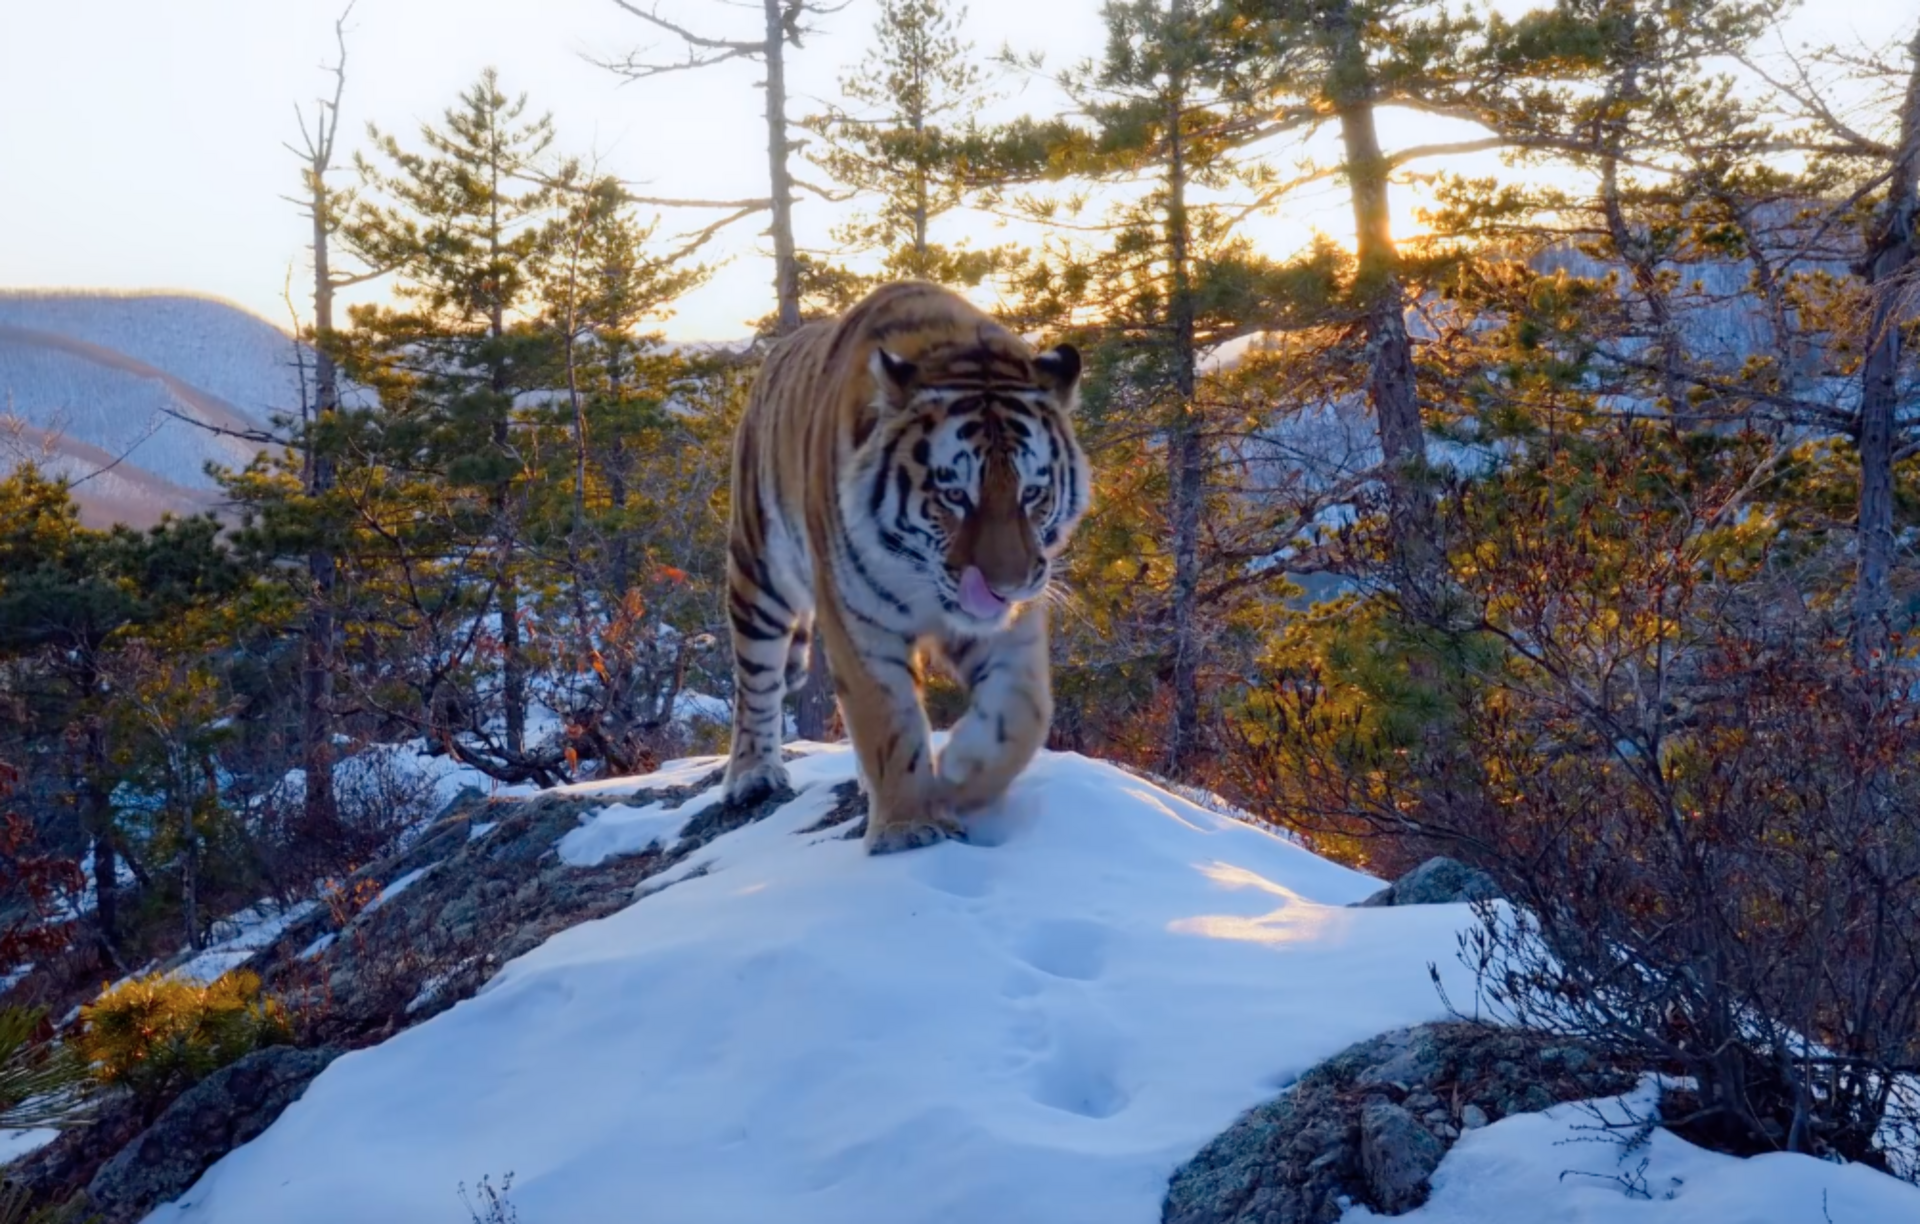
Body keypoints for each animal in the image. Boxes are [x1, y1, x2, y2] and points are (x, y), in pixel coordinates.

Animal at [721, 280, 1090, 851]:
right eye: (954, 495)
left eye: (1032, 493)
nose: (1004, 588)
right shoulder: (860, 620)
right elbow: (886, 721)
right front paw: (908, 827)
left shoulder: (1014, 625)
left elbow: (1024, 710)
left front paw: (961, 773)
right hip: (759, 571)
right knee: (755, 681)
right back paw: (751, 775)